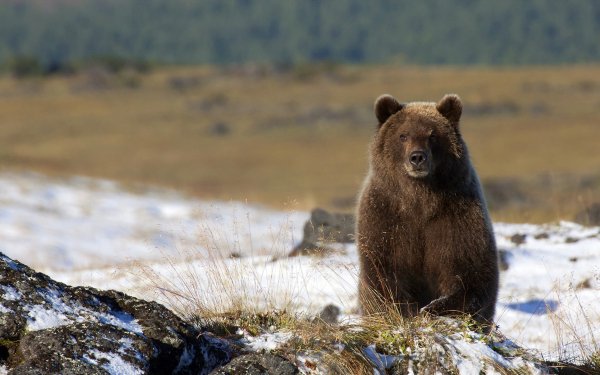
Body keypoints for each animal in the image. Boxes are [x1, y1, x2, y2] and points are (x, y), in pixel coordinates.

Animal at [356, 92, 496, 328]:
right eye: (403, 135)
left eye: (432, 135)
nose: (417, 157)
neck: (420, 199)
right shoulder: (386, 217)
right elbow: (384, 272)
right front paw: (405, 310)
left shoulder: (456, 216)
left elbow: (471, 273)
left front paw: (434, 307)